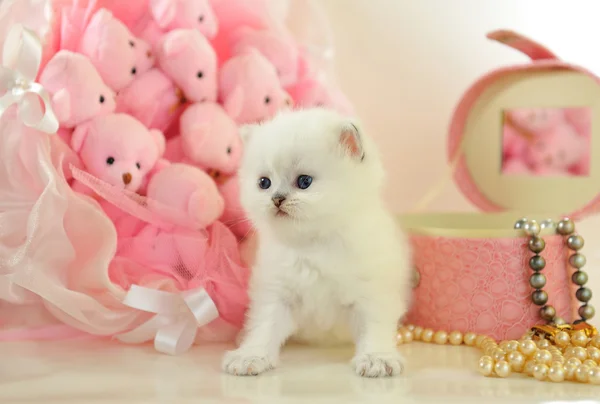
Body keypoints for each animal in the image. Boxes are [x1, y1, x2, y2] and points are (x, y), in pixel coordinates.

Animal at [221, 108, 412, 378]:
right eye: (264, 183)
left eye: (304, 182)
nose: (276, 199)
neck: (313, 244)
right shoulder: (275, 291)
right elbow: (264, 326)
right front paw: (251, 355)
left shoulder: (372, 291)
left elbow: (373, 326)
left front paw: (377, 358)